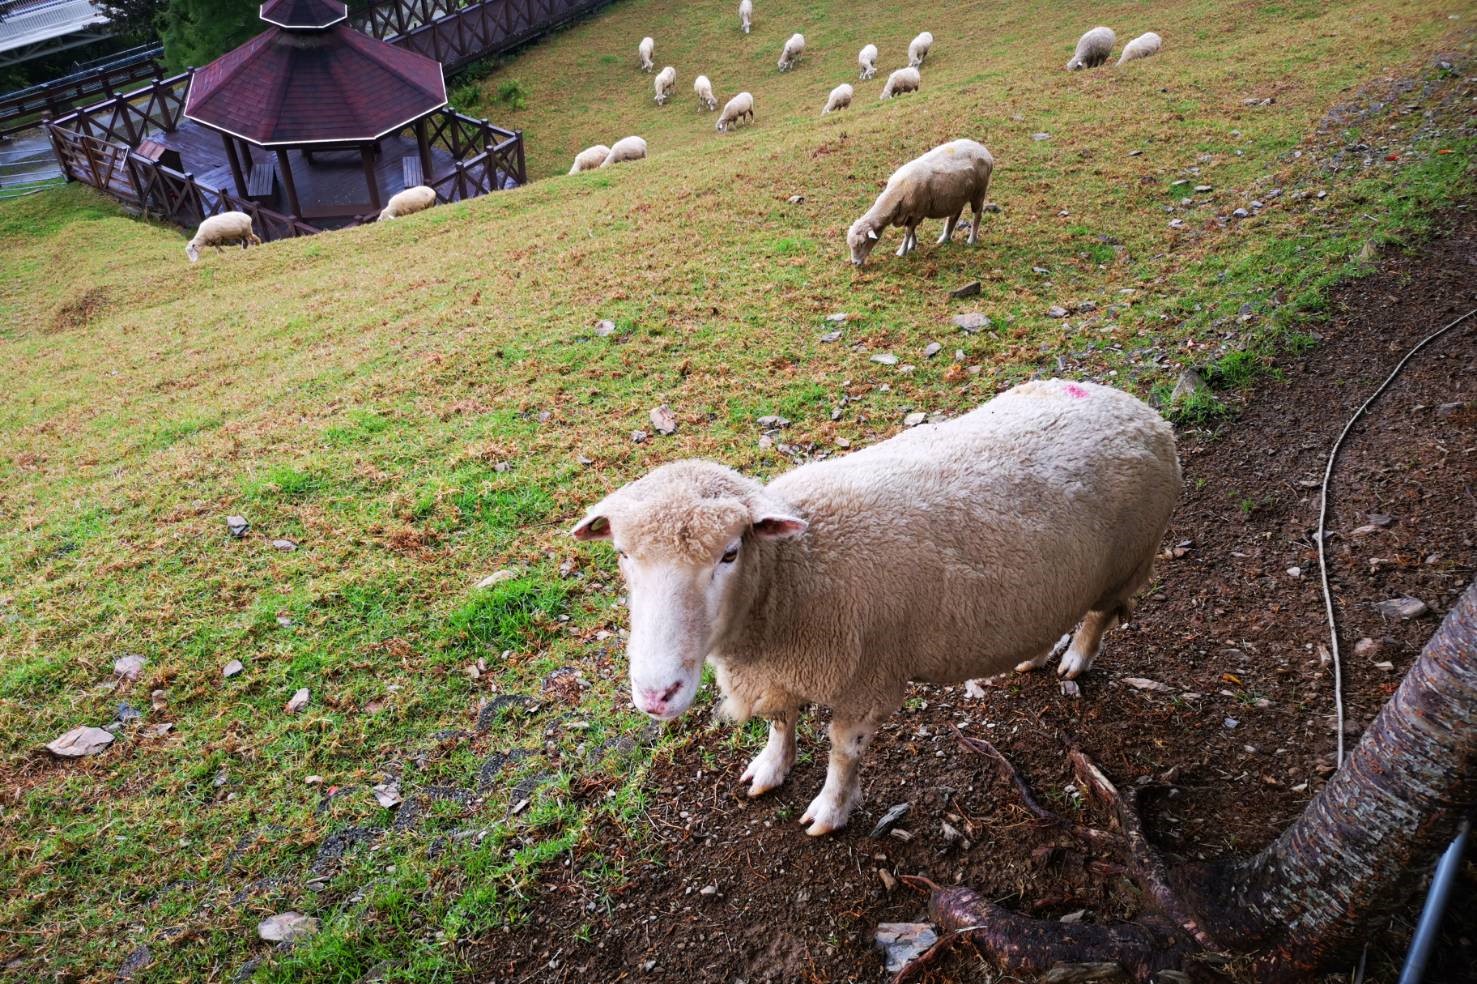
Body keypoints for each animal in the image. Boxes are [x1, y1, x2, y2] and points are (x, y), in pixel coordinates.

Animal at [570, 378, 1181, 833]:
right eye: (622, 554)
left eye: (729, 553)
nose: (656, 694)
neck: (794, 574)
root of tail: (1135, 406)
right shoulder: (780, 668)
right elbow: (780, 722)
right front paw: (771, 767)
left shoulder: (867, 679)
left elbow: (844, 750)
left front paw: (831, 809)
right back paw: (1034, 655)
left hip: (1127, 561)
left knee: (1100, 615)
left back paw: (1075, 660)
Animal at [844, 135, 992, 264]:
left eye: (863, 243)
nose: (855, 263)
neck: (897, 192)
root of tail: (985, 151)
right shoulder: (909, 214)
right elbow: (912, 231)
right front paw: (912, 246)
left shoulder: (918, 213)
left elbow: (908, 232)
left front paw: (902, 251)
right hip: (958, 196)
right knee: (954, 216)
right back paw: (944, 238)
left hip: (979, 191)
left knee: (977, 215)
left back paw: (971, 240)